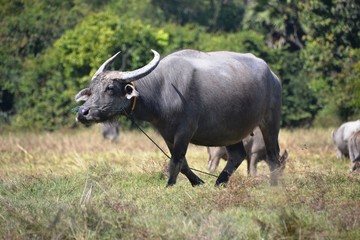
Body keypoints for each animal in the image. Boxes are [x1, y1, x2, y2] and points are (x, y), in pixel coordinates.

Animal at [75, 49, 284, 187]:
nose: (82, 112)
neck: (162, 90)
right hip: (230, 131)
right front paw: (198, 182)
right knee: (237, 155)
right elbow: (182, 163)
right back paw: (219, 182)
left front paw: (169, 185)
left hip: (270, 121)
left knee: (273, 156)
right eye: (91, 89)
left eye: (110, 88)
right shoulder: (167, 134)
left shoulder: (185, 131)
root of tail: (273, 76)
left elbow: (175, 161)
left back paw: (273, 185)